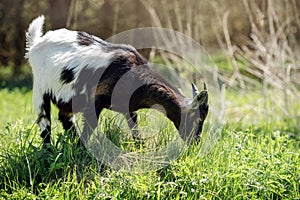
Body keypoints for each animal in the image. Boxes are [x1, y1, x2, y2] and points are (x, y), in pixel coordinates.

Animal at [25, 15, 209, 144]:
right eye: (197, 118)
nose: (196, 141)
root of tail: (36, 43)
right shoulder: (95, 102)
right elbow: (89, 130)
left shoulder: (129, 108)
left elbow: (135, 132)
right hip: (40, 90)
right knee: (45, 124)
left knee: (65, 118)